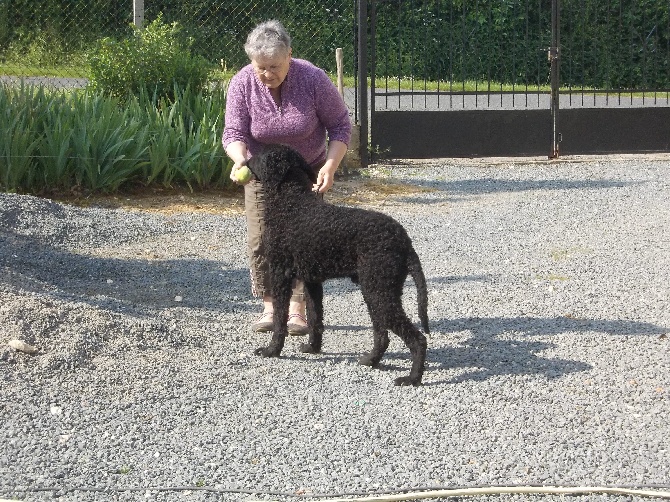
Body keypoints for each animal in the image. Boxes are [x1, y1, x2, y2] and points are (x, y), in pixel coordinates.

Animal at [248, 143, 430, 386]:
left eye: (260, 154)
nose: (245, 159)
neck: (292, 202)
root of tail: (404, 240)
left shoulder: (280, 274)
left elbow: (280, 319)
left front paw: (272, 351)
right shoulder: (312, 281)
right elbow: (315, 317)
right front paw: (313, 348)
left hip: (379, 290)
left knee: (418, 339)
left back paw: (412, 378)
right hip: (376, 291)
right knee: (382, 335)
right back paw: (371, 360)